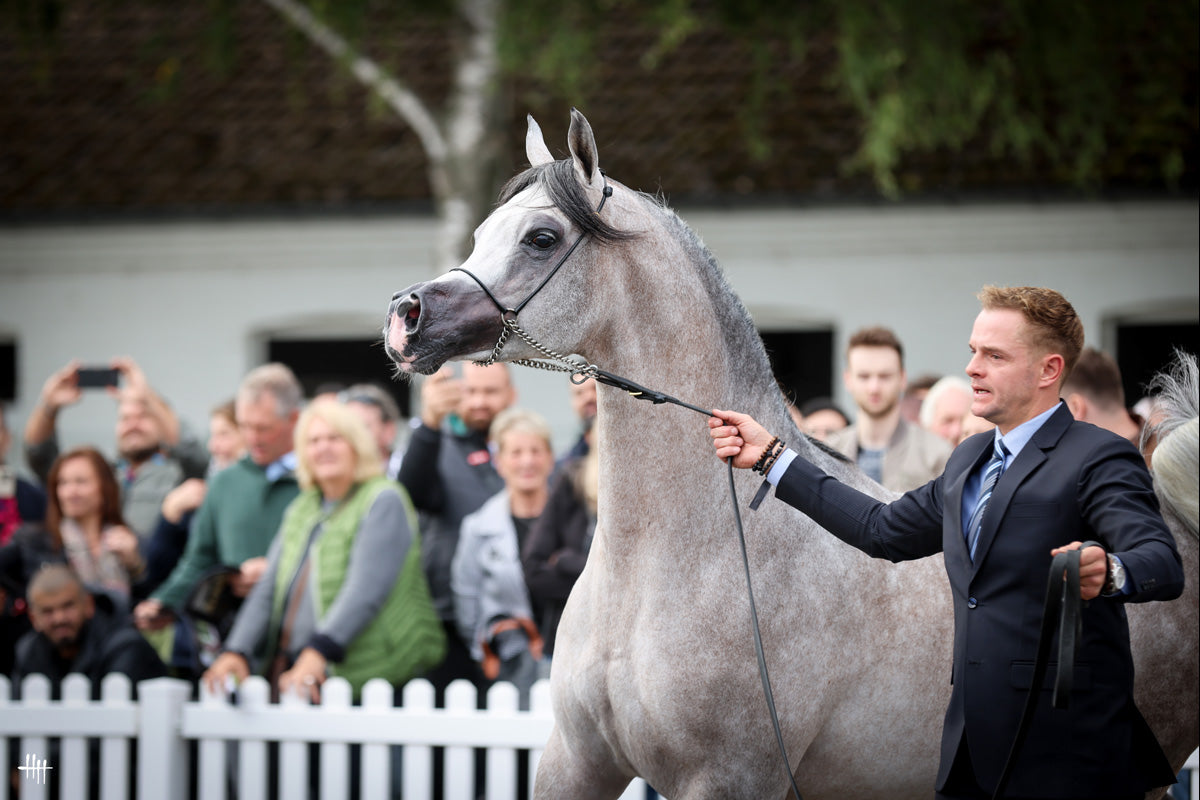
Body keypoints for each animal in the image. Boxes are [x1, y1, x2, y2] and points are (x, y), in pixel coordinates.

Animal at [383, 109, 1196, 799]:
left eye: (542, 238)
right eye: (483, 231)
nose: (406, 317)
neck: (669, 563)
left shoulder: (730, 778)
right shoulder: (576, 763)